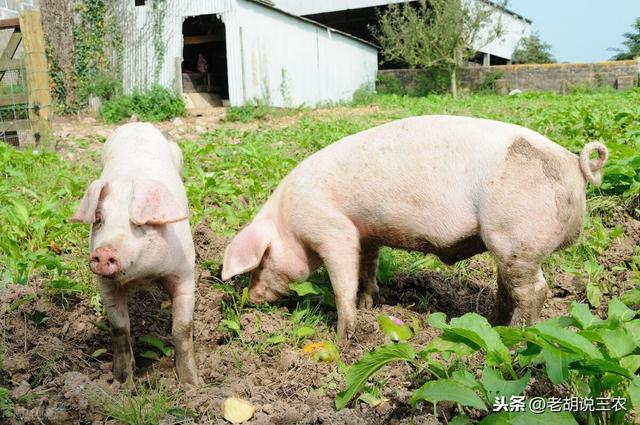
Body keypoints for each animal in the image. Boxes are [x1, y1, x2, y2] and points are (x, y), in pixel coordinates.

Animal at [70, 122, 198, 384]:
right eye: (99, 219)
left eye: (139, 224)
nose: (103, 251)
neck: (144, 276)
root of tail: (138, 121)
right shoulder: (106, 284)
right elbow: (120, 328)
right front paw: (122, 381)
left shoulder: (186, 271)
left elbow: (182, 328)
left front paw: (192, 383)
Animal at [222, 114, 608, 340]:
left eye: (261, 261)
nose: (250, 298)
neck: (288, 220)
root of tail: (575, 164)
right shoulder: (367, 232)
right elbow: (367, 266)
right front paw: (370, 304)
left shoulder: (333, 229)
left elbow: (342, 280)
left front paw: (344, 335)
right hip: (511, 246)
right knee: (510, 287)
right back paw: (493, 324)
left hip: (517, 237)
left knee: (535, 290)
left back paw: (515, 336)